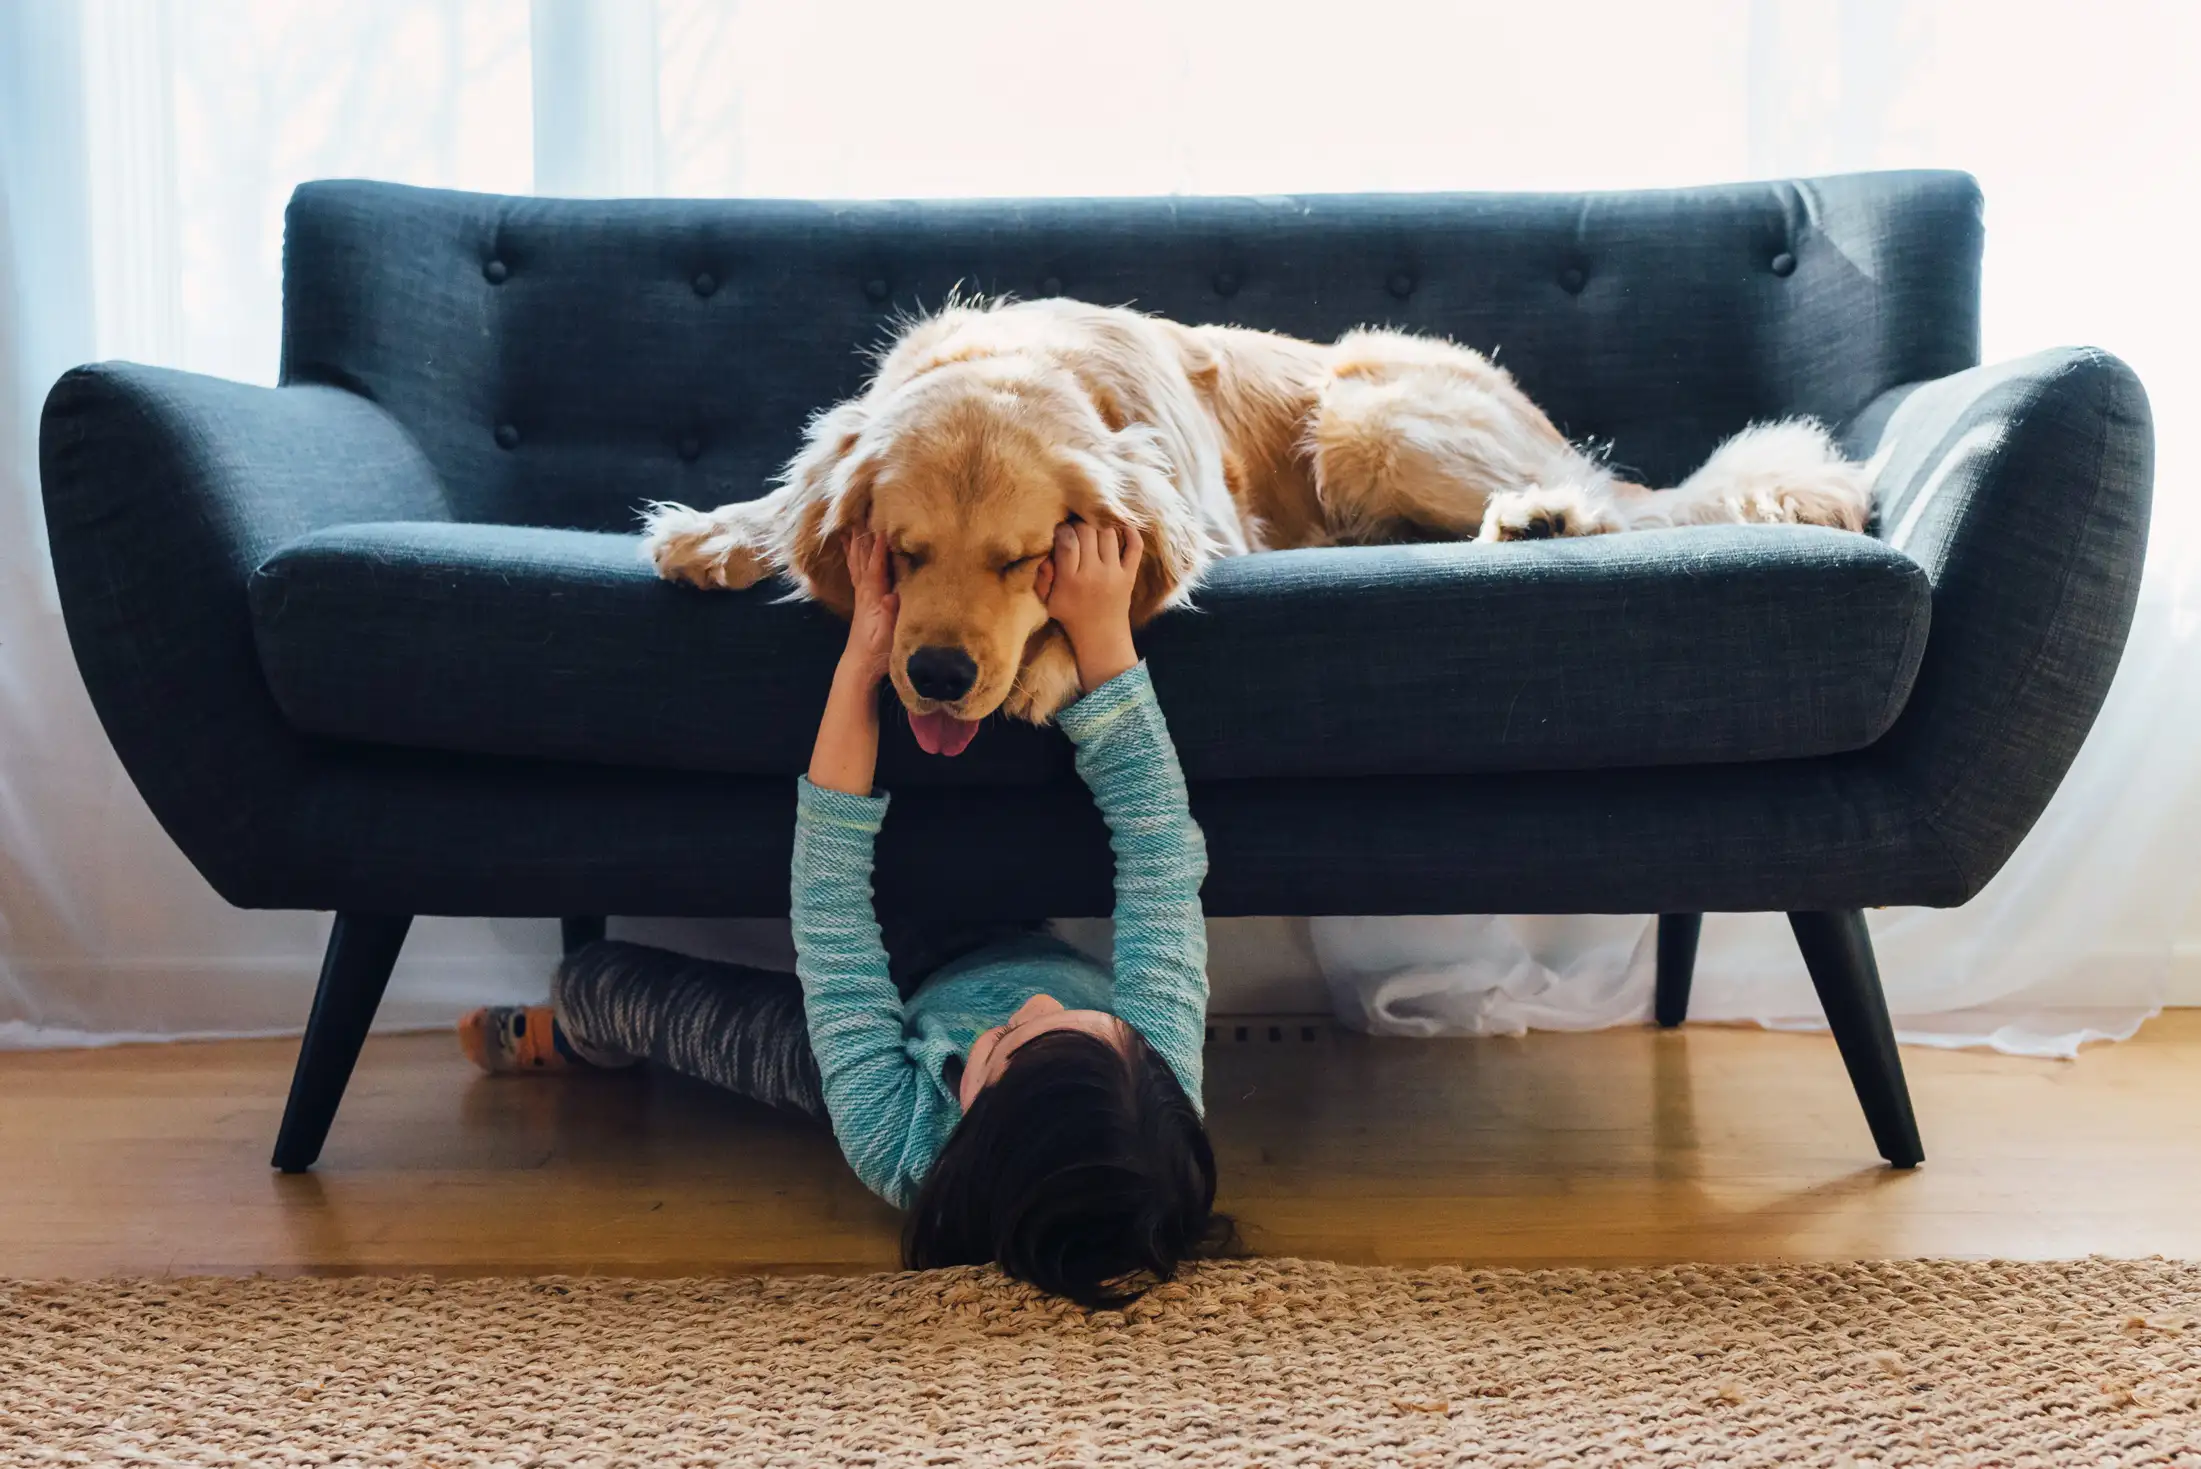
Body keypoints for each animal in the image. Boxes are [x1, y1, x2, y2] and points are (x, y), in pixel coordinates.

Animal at [642, 295, 1866, 753]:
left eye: (1028, 561)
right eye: (902, 554)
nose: (938, 675)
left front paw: (1049, 663)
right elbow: (795, 487)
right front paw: (717, 531)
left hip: (1367, 416)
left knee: (1609, 503)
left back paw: (1539, 518)